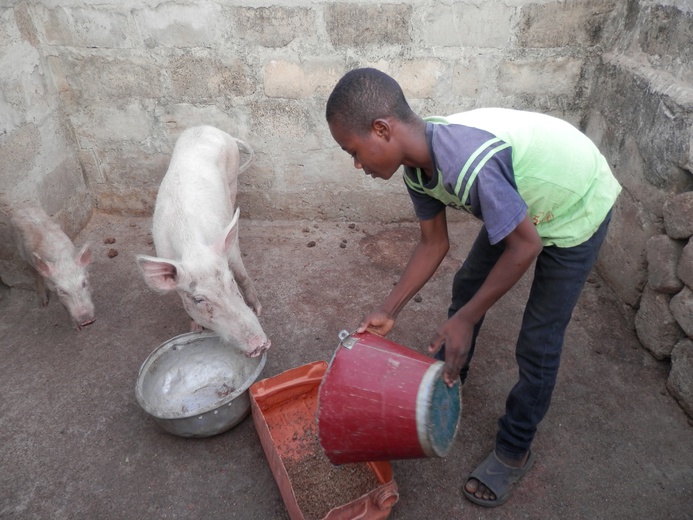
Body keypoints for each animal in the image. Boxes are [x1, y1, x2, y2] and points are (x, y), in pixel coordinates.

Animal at [7, 202, 96, 330]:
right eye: (62, 291)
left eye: (84, 283)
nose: (87, 321)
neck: (62, 261)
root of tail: (20, 207)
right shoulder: (52, 286)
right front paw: (77, 328)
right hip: (21, 252)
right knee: (35, 275)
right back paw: (43, 304)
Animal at [136, 126, 270, 358]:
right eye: (199, 299)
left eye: (230, 281)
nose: (260, 344)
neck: (192, 248)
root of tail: (210, 128)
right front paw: (195, 330)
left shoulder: (228, 247)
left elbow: (242, 273)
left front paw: (258, 309)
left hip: (232, 175)